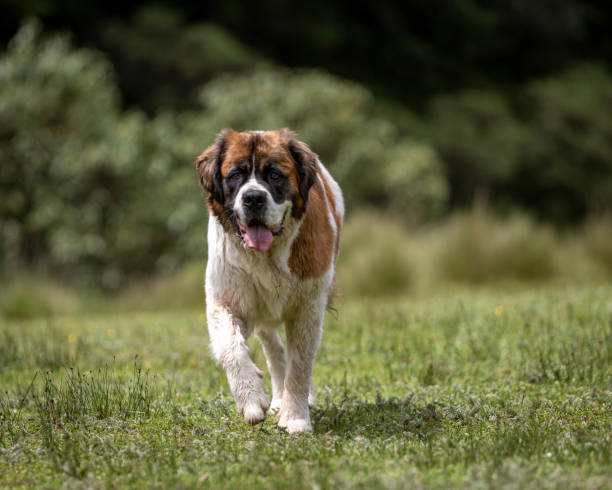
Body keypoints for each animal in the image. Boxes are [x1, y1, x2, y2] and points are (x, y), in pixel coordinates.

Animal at [195, 127, 342, 432]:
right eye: (235, 175)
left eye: (275, 175)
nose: (253, 197)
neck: (266, 256)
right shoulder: (223, 301)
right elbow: (232, 348)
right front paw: (252, 399)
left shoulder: (309, 306)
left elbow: (300, 366)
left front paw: (296, 419)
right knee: (273, 347)